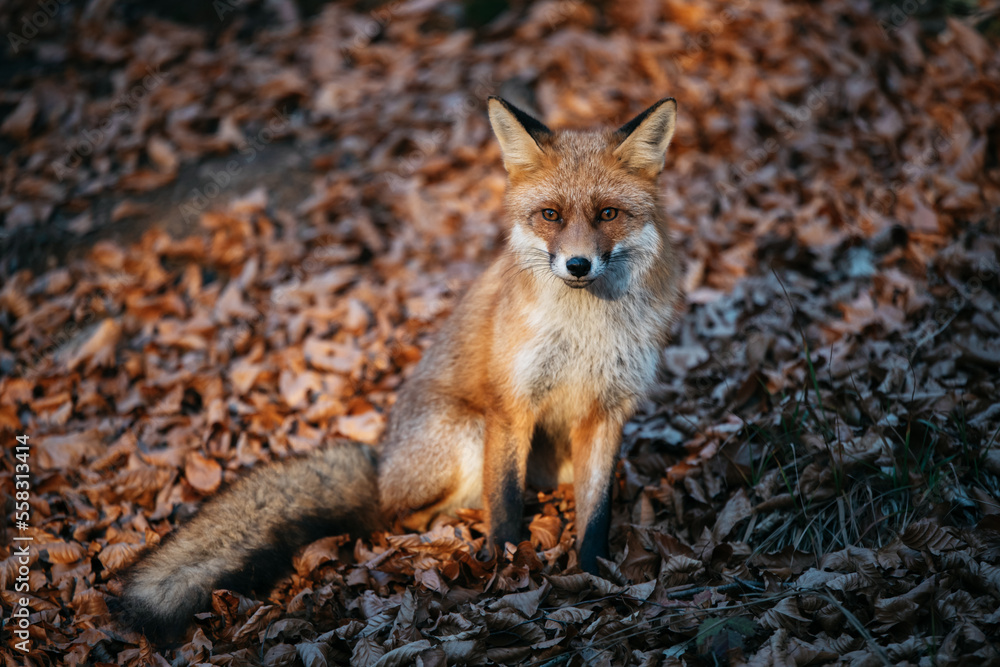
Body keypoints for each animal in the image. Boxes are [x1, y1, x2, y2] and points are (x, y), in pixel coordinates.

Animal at [116, 96, 683, 641]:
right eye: (550, 214)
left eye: (608, 214)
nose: (578, 265)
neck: (585, 332)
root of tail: (381, 468)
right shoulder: (510, 405)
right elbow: (503, 508)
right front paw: (507, 574)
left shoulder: (607, 413)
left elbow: (596, 515)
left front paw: (593, 578)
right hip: (466, 433)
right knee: (396, 518)